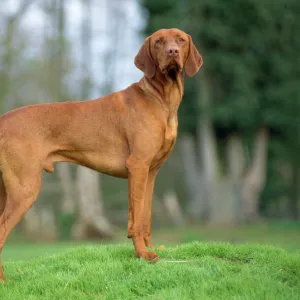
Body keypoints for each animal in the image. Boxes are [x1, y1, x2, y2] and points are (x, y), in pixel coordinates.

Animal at [0, 28, 203, 282]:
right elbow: (137, 220)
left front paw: (149, 249)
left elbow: (145, 218)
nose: (172, 52)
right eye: (158, 42)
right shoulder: (138, 166)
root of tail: (2, 120)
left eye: (181, 40)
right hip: (24, 189)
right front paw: (143, 255)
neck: (160, 98)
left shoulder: (151, 172)